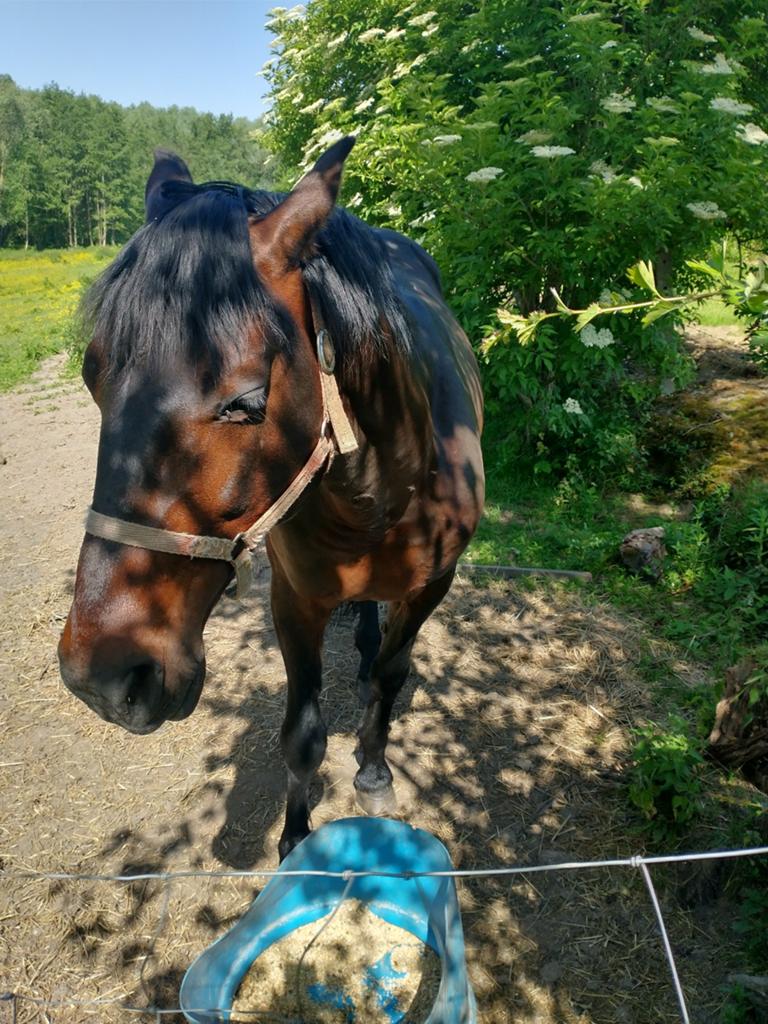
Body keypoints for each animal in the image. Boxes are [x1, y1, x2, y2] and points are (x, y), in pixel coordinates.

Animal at [58, 136, 485, 859]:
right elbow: (302, 734)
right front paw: (294, 843)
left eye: (246, 403)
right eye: (93, 378)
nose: (104, 676)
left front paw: (374, 773)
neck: (381, 495)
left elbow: (392, 677)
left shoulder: (434, 584)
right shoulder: (295, 597)